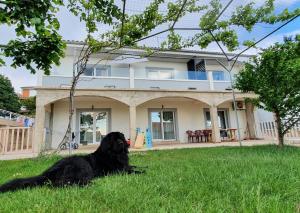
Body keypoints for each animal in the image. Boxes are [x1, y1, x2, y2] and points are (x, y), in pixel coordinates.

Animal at [0, 131, 144, 193]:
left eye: (121, 138)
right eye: (113, 140)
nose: (121, 143)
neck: (115, 155)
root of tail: (47, 173)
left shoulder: (124, 165)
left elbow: (131, 166)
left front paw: (143, 167)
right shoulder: (117, 171)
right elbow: (130, 170)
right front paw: (141, 172)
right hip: (81, 164)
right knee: (61, 184)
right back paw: (89, 184)